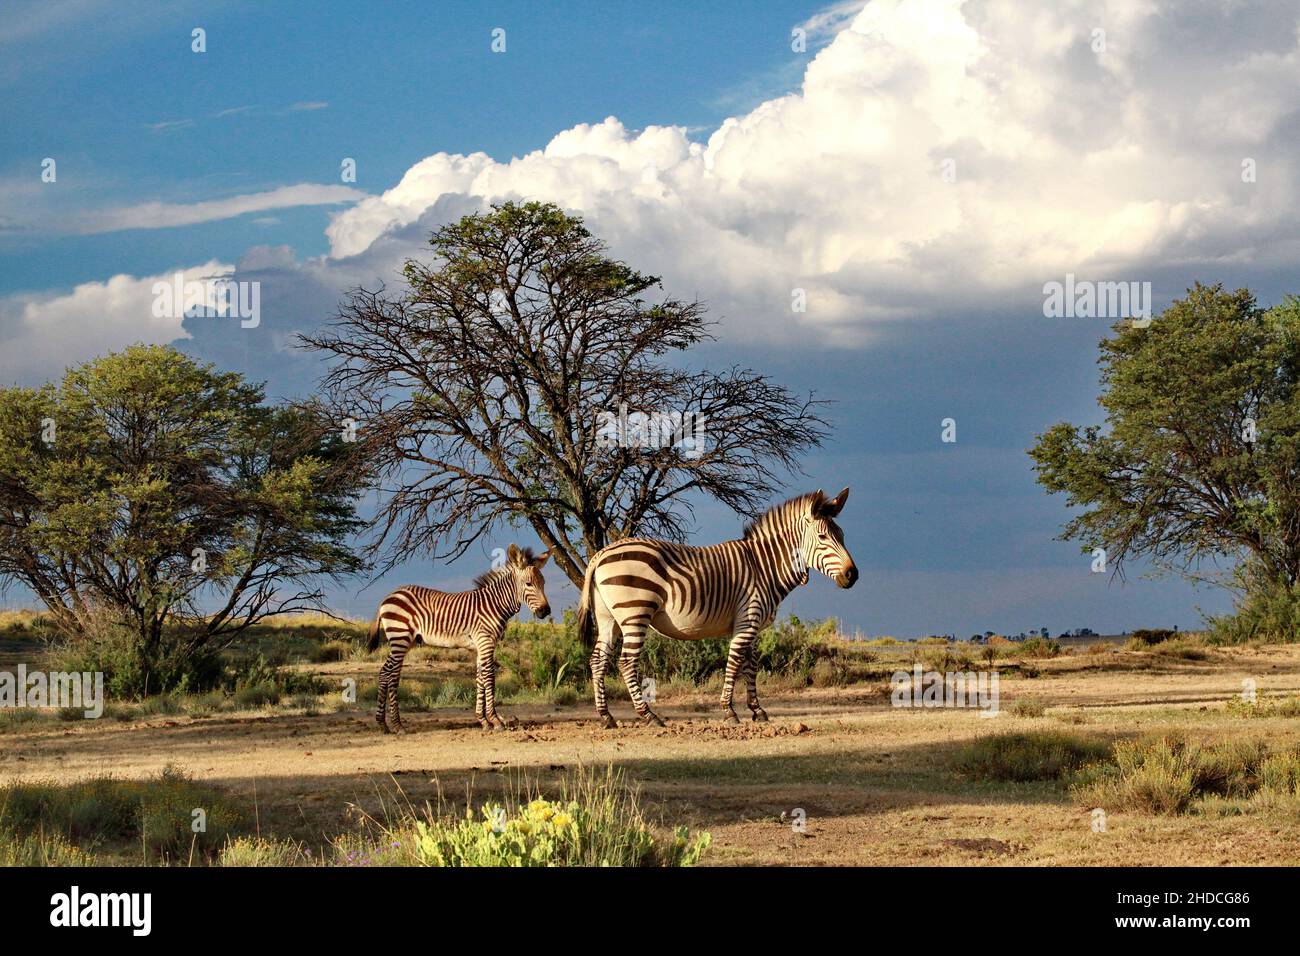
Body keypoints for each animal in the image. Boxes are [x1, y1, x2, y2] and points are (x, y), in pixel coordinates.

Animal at [366, 545, 551, 732]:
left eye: (544, 583)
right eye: (528, 584)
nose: (545, 612)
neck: (494, 605)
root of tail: (388, 596)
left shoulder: (481, 646)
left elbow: (480, 678)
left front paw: (484, 721)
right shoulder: (485, 641)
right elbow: (489, 677)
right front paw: (495, 720)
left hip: (404, 640)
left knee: (385, 672)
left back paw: (383, 724)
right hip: (400, 638)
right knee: (392, 675)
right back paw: (398, 725)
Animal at [576, 488, 856, 727]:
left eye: (842, 536)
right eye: (822, 537)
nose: (852, 575)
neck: (763, 567)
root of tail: (600, 554)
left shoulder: (753, 626)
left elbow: (751, 665)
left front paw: (757, 710)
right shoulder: (747, 620)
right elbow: (734, 663)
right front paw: (729, 711)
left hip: (609, 619)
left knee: (598, 660)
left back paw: (606, 717)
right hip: (635, 613)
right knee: (626, 662)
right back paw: (648, 715)